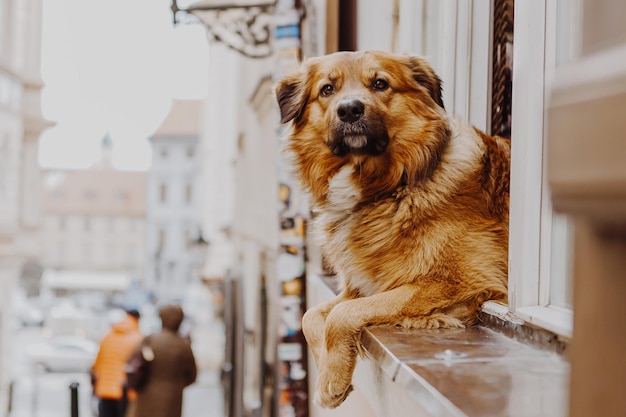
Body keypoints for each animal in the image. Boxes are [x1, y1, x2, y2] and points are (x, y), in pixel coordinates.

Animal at [272, 50, 508, 408]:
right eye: (327, 89)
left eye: (380, 83)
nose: (350, 109)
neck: (395, 187)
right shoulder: (359, 286)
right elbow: (310, 316)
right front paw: (326, 368)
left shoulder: (458, 279)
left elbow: (342, 315)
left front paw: (331, 380)